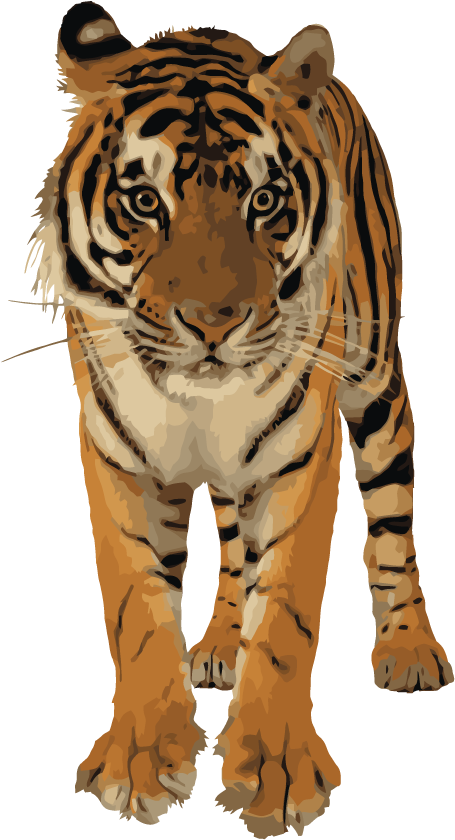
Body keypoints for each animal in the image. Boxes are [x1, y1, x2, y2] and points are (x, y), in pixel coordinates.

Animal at [24, 2, 453, 836]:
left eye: (264, 201)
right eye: (144, 201)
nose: (212, 322)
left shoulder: (301, 452)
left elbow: (285, 612)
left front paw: (278, 777)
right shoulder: (116, 455)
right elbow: (137, 609)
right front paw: (138, 763)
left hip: (376, 386)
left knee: (391, 524)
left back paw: (410, 650)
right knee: (228, 544)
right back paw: (221, 642)